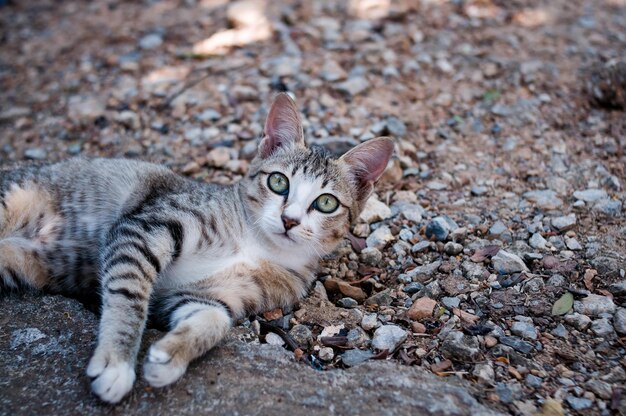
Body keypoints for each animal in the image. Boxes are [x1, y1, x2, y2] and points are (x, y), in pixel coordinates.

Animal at [0, 93, 390, 404]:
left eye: (326, 203)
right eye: (278, 182)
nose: (289, 220)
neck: (257, 246)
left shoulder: (205, 296)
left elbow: (214, 319)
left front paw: (169, 357)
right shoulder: (146, 228)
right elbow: (129, 297)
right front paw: (116, 361)